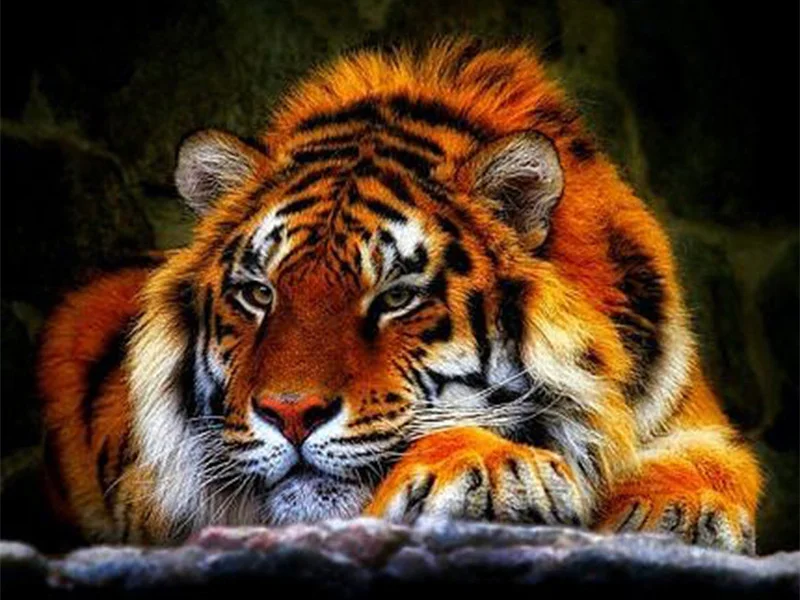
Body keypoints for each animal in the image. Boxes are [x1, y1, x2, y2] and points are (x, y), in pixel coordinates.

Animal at [38, 38, 762, 553]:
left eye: (396, 297)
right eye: (258, 293)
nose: (289, 414)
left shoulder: (691, 416)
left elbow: (712, 462)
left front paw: (676, 510)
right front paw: (493, 467)